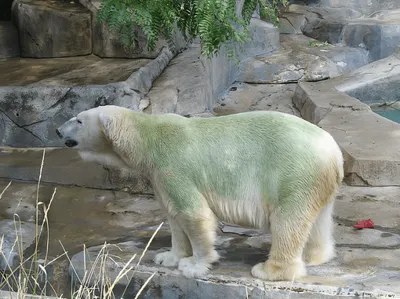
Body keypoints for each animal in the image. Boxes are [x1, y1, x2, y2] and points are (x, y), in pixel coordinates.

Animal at [55, 105, 344, 282]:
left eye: (78, 120)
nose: (57, 130)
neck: (147, 137)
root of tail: (335, 153)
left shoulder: (173, 165)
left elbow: (193, 213)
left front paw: (194, 265)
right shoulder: (159, 175)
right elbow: (173, 215)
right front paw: (168, 257)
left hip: (292, 172)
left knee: (287, 220)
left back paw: (269, 270)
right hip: (314, 181)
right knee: (318, 219)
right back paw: (315, 256)